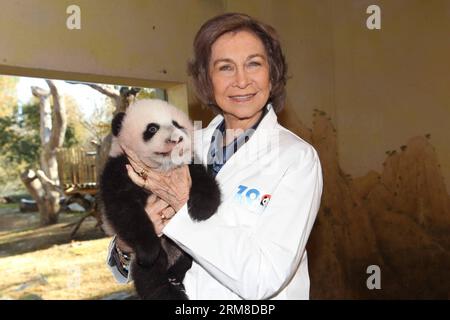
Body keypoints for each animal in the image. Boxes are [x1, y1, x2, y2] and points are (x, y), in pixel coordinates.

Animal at [101, 99, 222, 298]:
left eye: (177, 124)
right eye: (152, 129)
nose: (177, 139)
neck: (162, 168)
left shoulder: (187, 167)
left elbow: (202, 178)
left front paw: (202, 209)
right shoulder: (119, 169)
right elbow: (125, 210)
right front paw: (148, 248)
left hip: (183, 251)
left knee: (184, 261)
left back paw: (175, 277)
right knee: (150, 276)